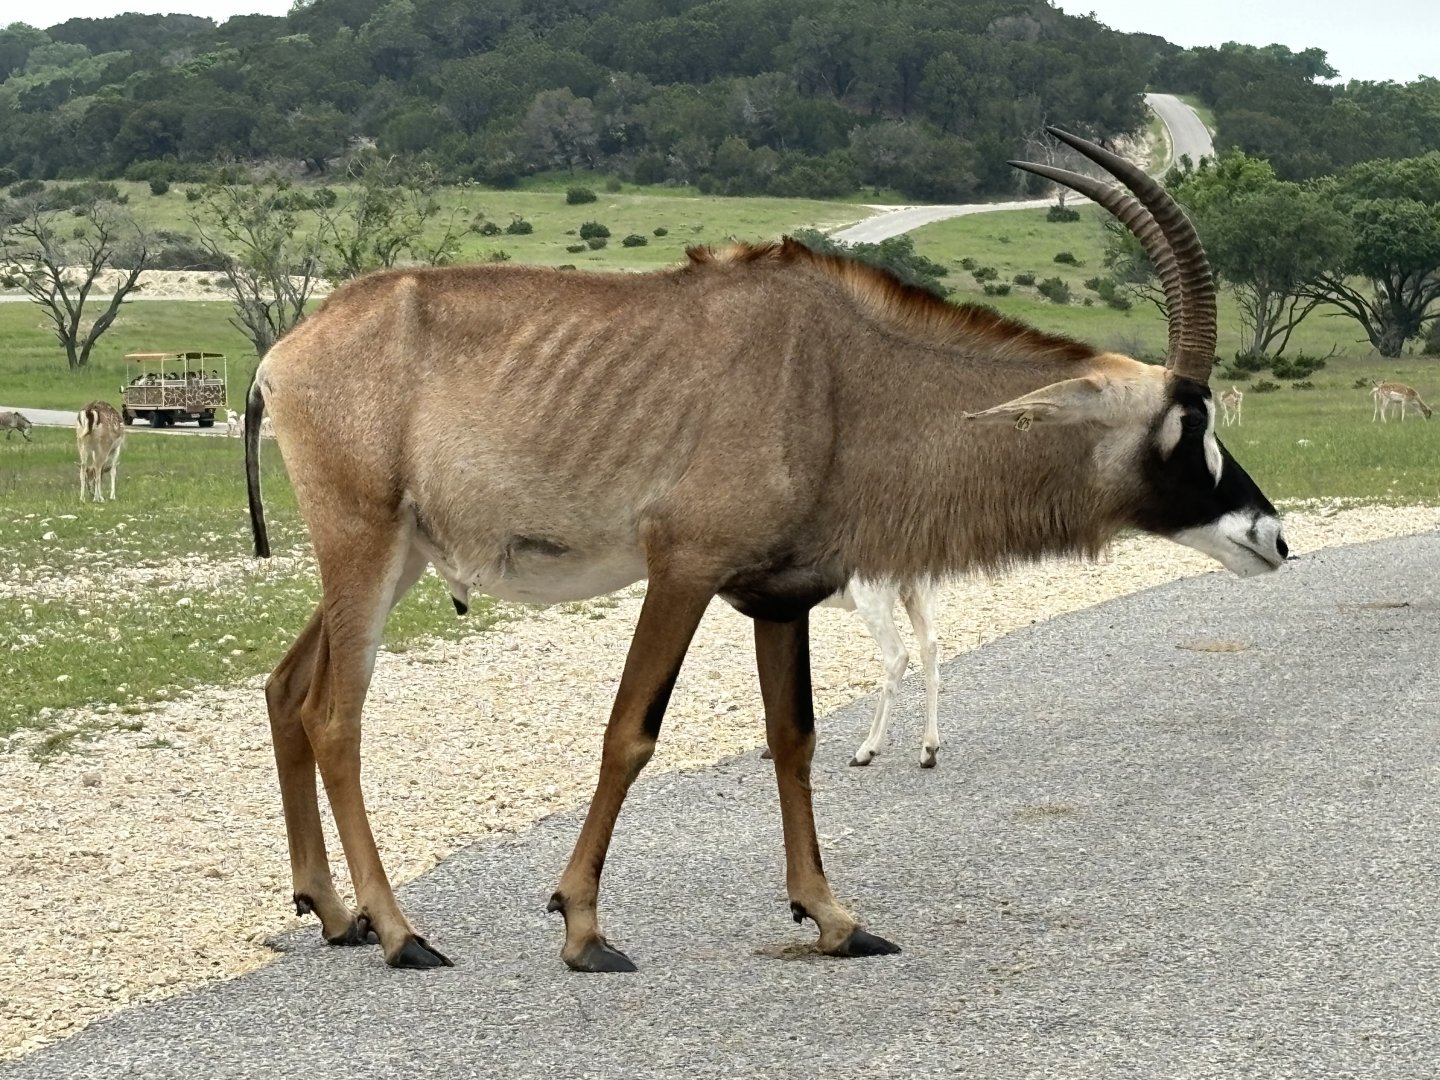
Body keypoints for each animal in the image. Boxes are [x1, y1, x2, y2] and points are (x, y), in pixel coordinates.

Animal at [243, 128, 1287, 974]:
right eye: (1185, 421)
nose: (1271, 536)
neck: (837, 376)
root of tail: (284, 353)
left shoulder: (782, 597)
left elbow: (796, 741)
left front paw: (832, 917)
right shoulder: (684, 570)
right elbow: (630, 734)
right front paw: (583, 927)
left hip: (394, 558)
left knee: (288, 689)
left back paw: (333, 914)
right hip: (363, 543)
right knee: (337, 714)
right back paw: (398, 932)